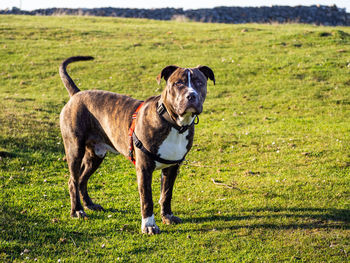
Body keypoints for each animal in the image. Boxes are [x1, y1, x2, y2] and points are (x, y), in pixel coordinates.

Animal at [58, 56, 215, 235]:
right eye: (178, 83)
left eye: (199, 82)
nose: (191, 96)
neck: (174, 124)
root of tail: (76, 94)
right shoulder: (144, 168)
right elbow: (147, 199)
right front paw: (149, 225)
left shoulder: (172, 167)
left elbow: (166, 194)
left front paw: (167, 216)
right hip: (74, 149)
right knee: (73, 181)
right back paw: (77, 210)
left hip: (96, 155)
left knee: (82, 179)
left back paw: (89, 204)